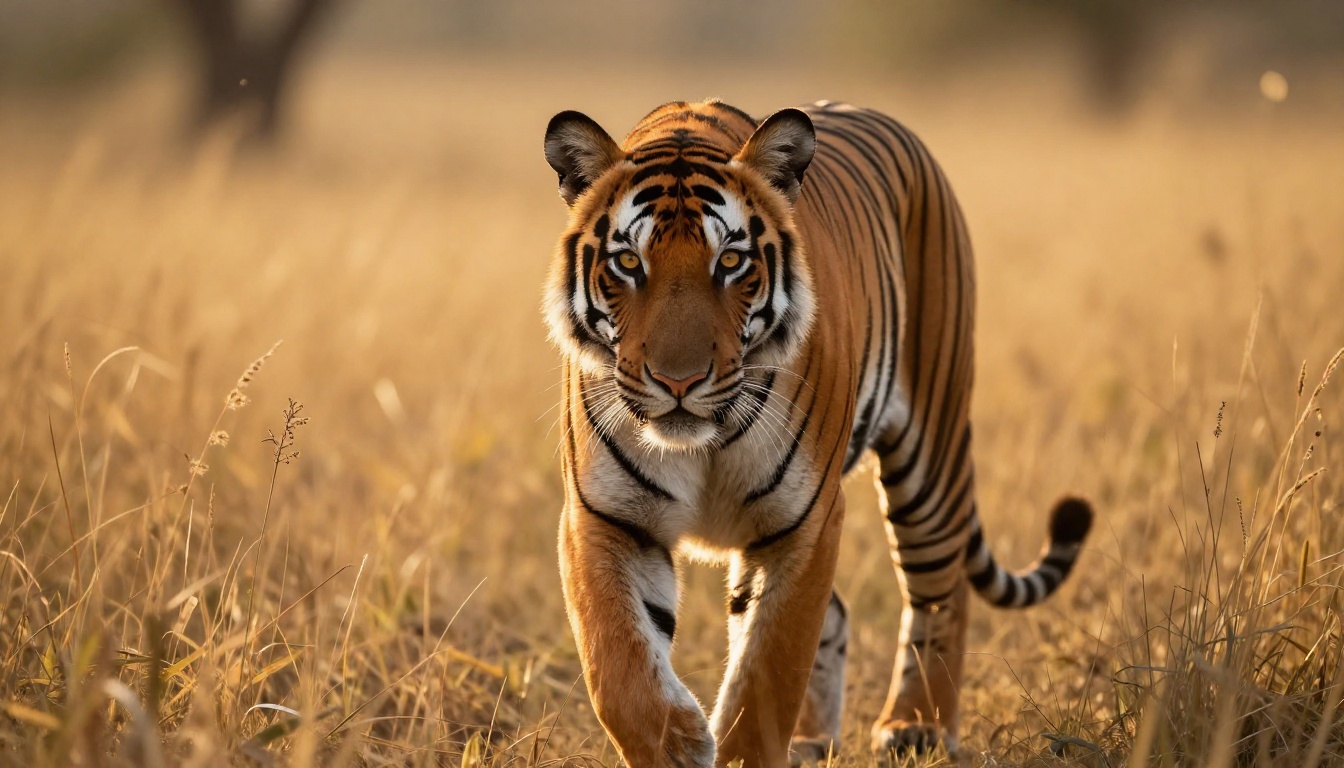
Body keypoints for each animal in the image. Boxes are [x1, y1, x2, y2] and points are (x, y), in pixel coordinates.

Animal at [541, 99, 1093, 768]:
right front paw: (679, 745)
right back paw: (812, 740)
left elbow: (767, 672)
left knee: (942, 587)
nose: (679, 381)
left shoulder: (803, 522)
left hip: (928, 457)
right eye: (628, 262)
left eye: (730, 262)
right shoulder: (605, 517)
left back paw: (917, 726)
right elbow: (617, 665)